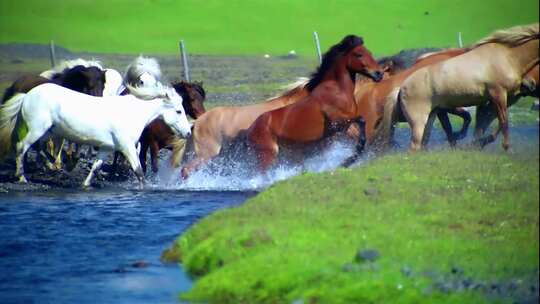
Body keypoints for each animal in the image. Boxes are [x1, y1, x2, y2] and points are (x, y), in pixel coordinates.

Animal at [0, 83, 192, 188]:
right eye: (178, 111)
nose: (188, 132)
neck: (132, 113)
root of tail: (27, 96)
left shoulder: (107, 148)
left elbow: (95, 167)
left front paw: (85, 185)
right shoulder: (127, 147)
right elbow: (138, 171)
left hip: (47, 132)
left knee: (36, 149)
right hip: (37, 129)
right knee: (21, 148)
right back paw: (22, 177)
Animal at [247, 34, 382, 172]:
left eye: (370, 53)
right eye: (358, 54)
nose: (379, 73)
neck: (338, 92)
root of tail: (250, 129)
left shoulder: (343, 129)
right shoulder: (336, 123)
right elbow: (361, 120)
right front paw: (347, 160)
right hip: (267, 155)